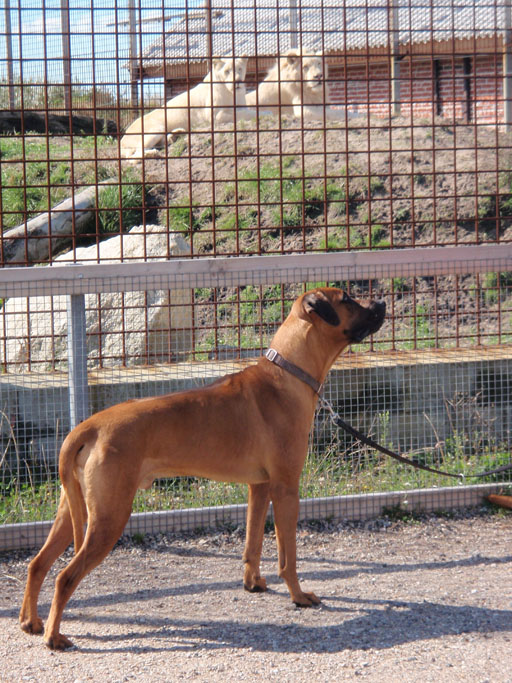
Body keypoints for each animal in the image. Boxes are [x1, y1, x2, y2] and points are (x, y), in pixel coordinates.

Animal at [20, 286, 384, 648]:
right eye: (347, 300)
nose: (381, 302)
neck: (286, 373)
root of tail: (88, 426)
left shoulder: (259, 486)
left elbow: (252, 542)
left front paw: (253, 583)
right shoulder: (285, 488)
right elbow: (287, 556)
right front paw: (298, 596)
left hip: (74, 508)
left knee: (37, 564)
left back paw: (31, 621)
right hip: (109, 516)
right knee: (65, 576)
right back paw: (53, 636)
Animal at [122, 56, 254, 162]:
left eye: (240, 69)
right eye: (227, 71)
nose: (237, 81)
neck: (233, 93)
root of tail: (122, 140)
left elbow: (246, 111)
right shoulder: (216, 116)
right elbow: (247, 113)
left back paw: (175, 135)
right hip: (155, 129)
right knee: (133, 157)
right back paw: (152, 153)